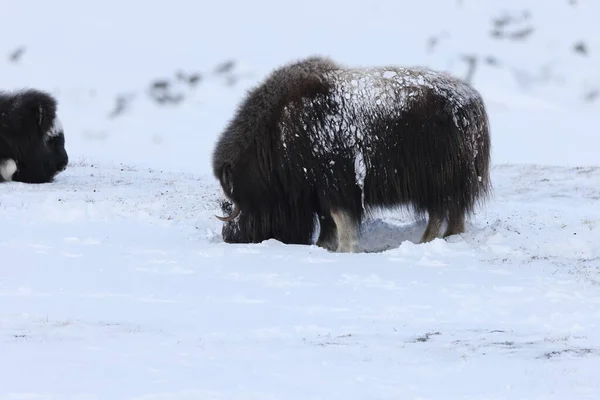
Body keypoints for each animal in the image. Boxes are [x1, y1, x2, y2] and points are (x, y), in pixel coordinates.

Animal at [213, 55, 490, 253]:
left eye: (229, 203)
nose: (230, 238)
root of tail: (472, 102)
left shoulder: (334, 186)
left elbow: (340, 218)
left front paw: (345, 249)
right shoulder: (318, 192)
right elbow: (327, 222)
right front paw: (324, 246)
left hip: (436, 181)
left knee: (438, 212)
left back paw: (424, 241)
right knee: (454, 213)